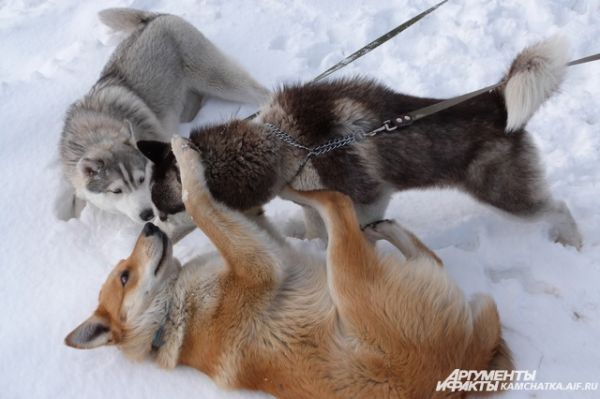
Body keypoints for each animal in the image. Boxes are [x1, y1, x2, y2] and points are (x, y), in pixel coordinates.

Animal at [58, 7, 270, 223]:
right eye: (116, 191)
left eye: (141, 179)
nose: (147, 214)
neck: (97, 134)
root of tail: (155, 17)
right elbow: (78, 199)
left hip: (218, 80)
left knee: (260, 92)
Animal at [67, 137, 516, 399]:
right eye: (124, 277)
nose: (148, 226)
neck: (173, 312)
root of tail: (467, 369)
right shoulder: (261, 262)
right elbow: (198, 202)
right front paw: (183, 155)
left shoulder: (269, 248)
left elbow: (224, 210)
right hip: (350, 280)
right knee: (337, 202)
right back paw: (298, 187)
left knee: (424, 256)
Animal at [139, 38, 580, 250]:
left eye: (166, 212)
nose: (149, 229)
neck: (285, 143)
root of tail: (495, 98)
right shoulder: (311, 197)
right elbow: (314, 225)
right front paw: (308, 237)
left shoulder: (370, 197)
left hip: (504, 194)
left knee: (556, 206)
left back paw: (570, 240)